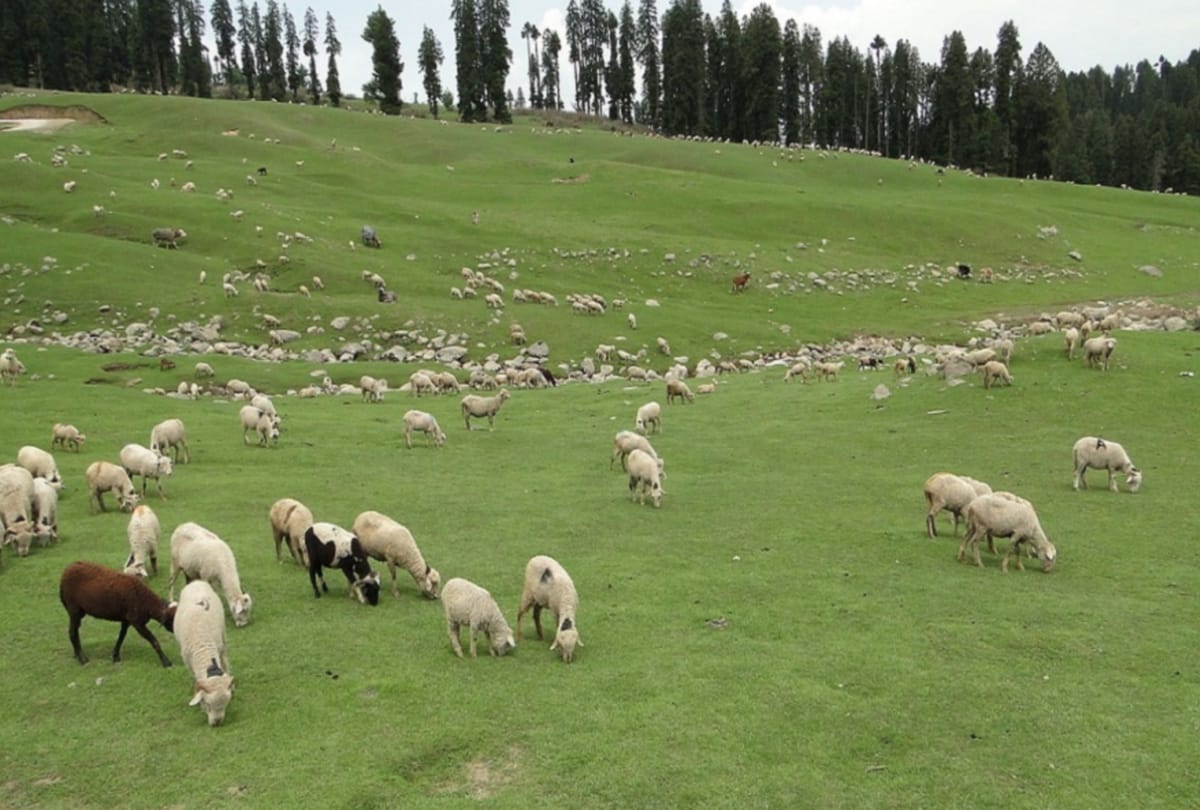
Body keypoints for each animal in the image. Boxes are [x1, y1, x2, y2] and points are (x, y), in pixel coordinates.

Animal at [173, 580, 235, 726]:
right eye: (207, 703)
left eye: (226, 705)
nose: (217, 723)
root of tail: (196, 581)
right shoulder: (188, 663)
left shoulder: (219, 648)